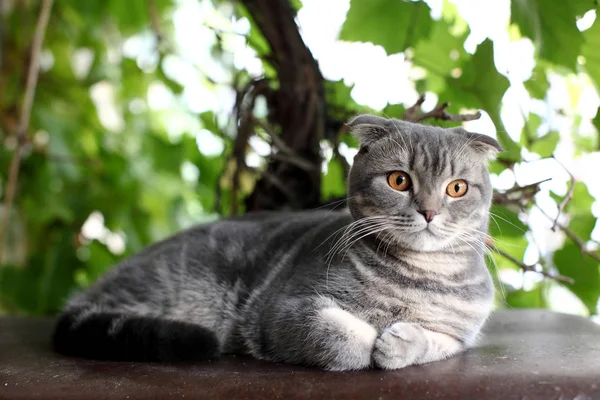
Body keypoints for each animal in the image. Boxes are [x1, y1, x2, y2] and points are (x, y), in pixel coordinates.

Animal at [52, 114, 502, 370]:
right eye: (398, 180)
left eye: (457, 188)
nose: (429, 211)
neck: (417, 280)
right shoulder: (283, 311)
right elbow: (344, 339)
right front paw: (372, 342)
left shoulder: (463, 332)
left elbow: (437, 341)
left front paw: (401, 342)